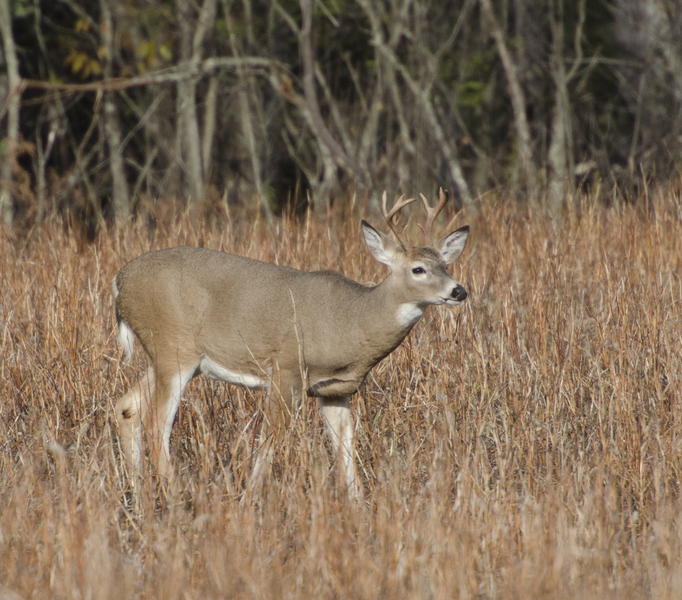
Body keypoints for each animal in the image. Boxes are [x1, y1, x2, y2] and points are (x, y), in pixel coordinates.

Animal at [113, 190, 468, 500]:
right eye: (418, 269)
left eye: (445, 265)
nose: (458, 291)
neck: (352, 320)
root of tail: (119, 282)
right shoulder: (285, 370)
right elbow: (269, 441)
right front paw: (250, 502)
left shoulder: (335, 390)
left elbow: (345, 447)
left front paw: (358, 507)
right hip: (174, 347)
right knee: (157, 423)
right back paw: (174, 498)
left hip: (167, 357)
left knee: (126, 407)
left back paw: (141, 498)